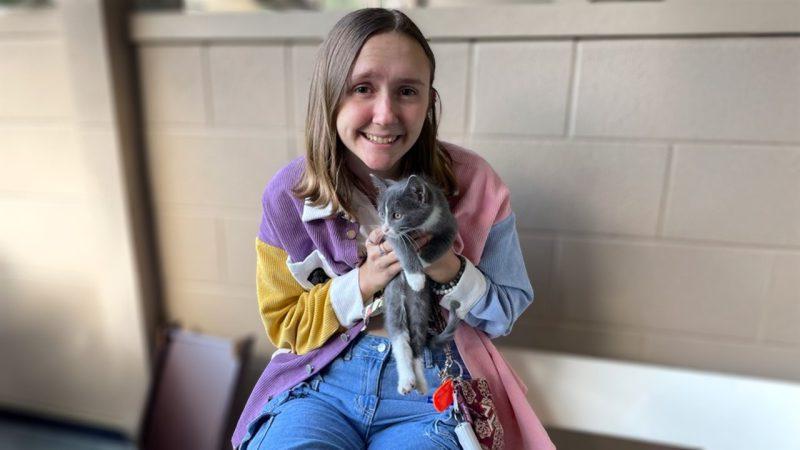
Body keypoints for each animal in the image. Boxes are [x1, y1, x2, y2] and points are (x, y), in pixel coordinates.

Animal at [370, 174, 460, 396]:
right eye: (381, 214)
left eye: (397, 215)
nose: (384, 227)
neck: (420, 227)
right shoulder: (393, 238)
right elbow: (403, 248)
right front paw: (416, 276)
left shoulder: (448, 221)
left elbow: (442, 243)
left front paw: (424, 260)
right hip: (394, 298)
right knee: (400, 339)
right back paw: (406, 379)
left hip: (420, 305)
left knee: (417, 344)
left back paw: (419, 382)